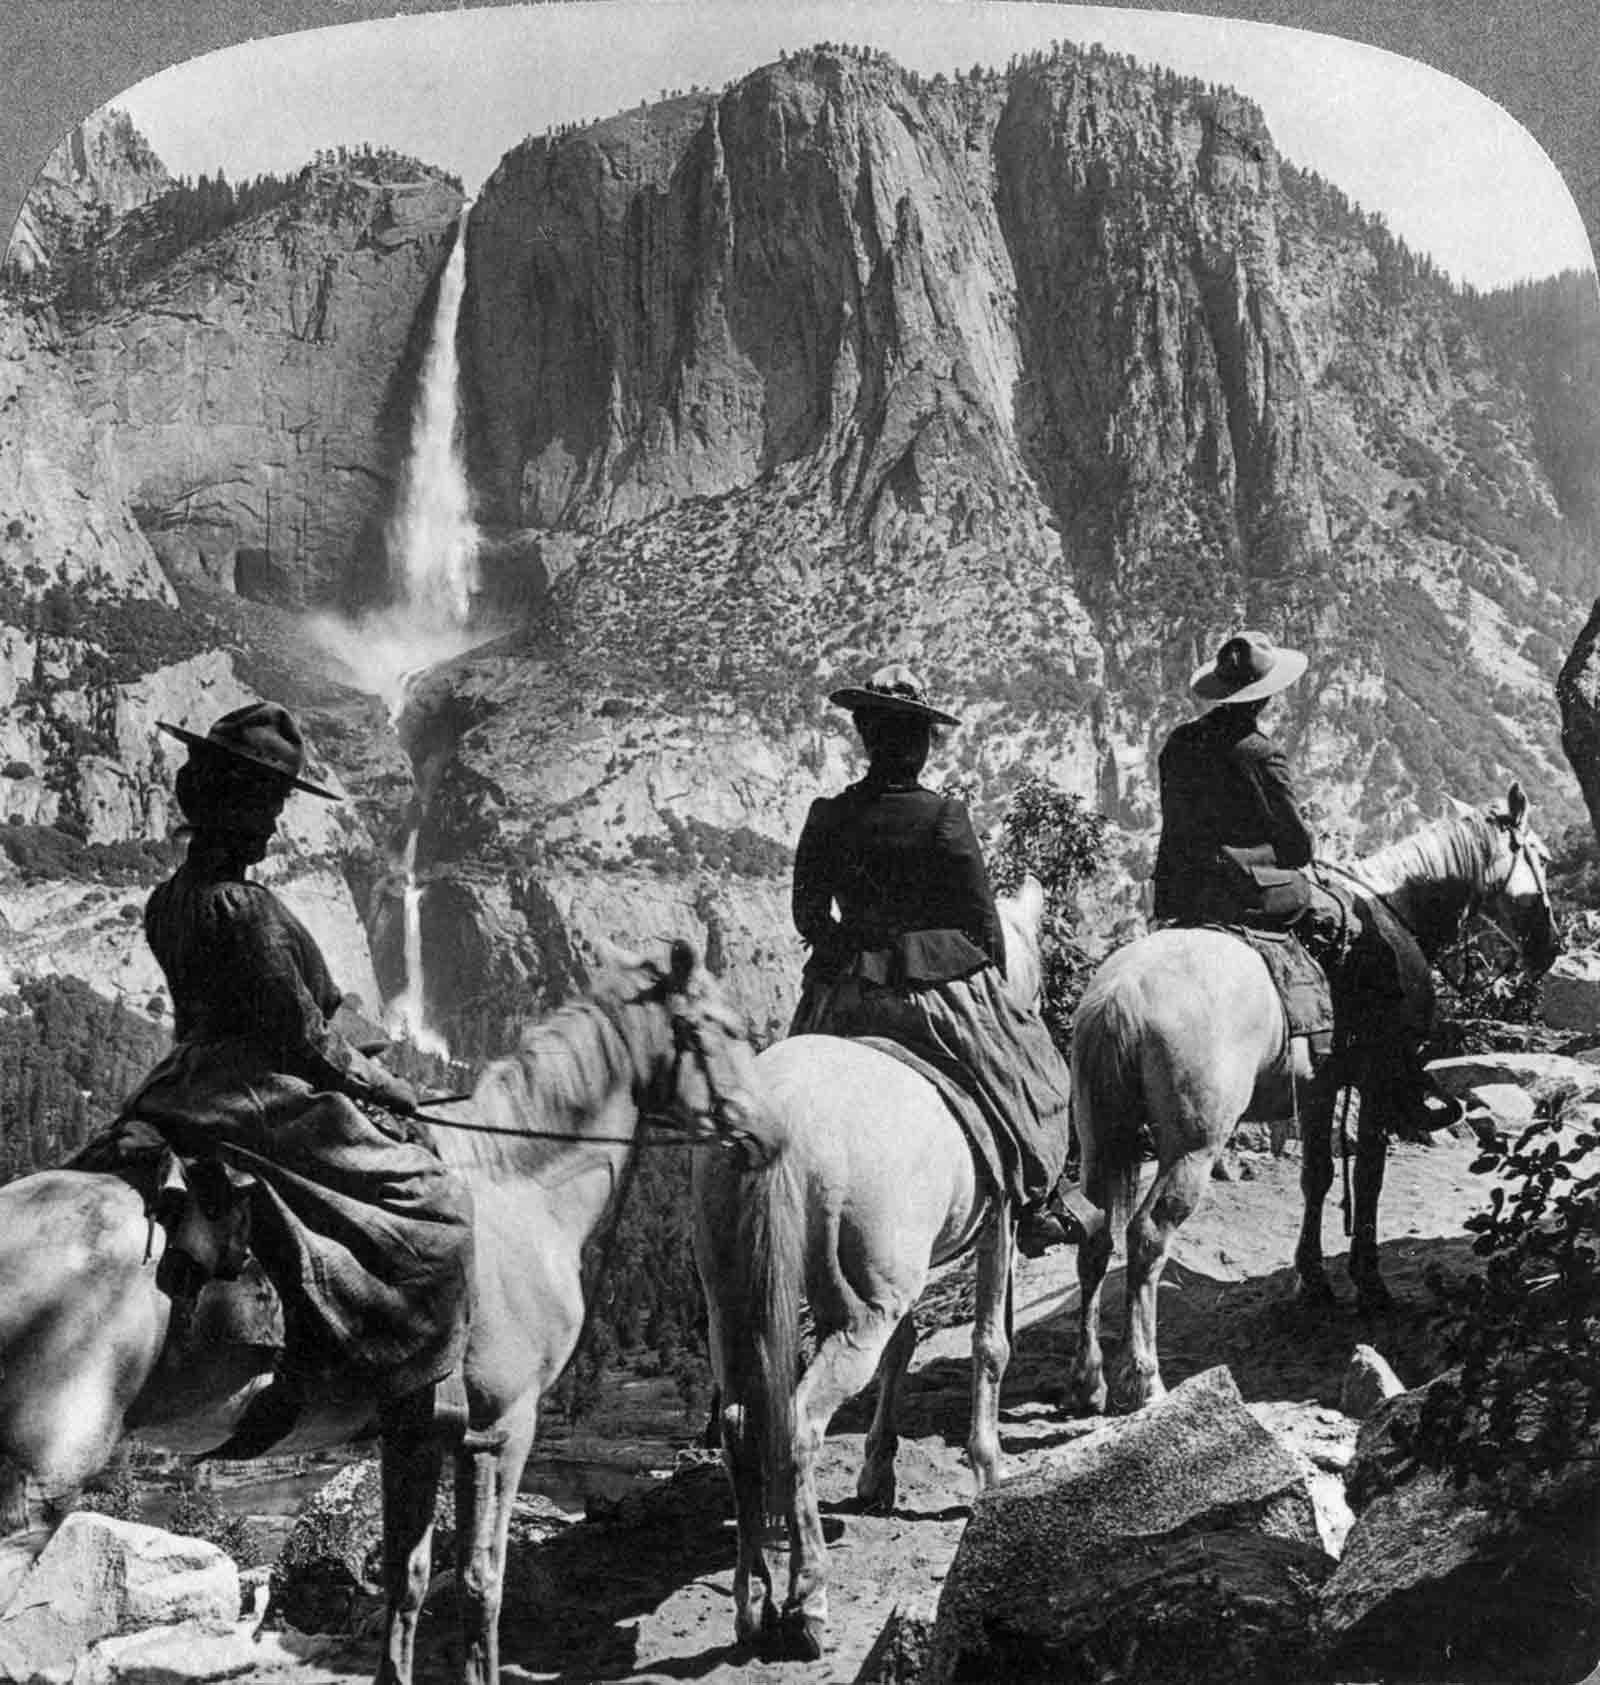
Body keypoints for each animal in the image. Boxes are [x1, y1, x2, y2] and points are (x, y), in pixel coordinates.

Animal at [0, 943, 764, 1685]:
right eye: (721, 1029)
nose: (762, 1132)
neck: (518, 1188)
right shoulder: (500, 1430)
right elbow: (483, 1582)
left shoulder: (414, 1432)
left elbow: (409, 1579)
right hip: (37, 1480)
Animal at [693, 882, 1057, 1658]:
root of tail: (777, 1116)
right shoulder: (1000, 1225)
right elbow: (990, 1344)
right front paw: (989, 1469)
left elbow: (907, 1348)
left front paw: (876, 1473)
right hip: (855, 1314)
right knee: (798, 1423)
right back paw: (808, 1601)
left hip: (732, 1308)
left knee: (742, 1424)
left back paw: (751, 1604)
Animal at [1071, 781, 1556, 1415]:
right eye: (1541, 859)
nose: (1550, 948)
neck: (1392, 913)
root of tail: (1119, 995)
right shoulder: (1374, 1080)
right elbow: (1368, 1176)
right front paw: (1368, 1282)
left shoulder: (1321, 1086)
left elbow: (1319, 1176)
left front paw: (1314, 1281)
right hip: (1193, 1148)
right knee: (1148, 1237)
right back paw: (1146, 1379)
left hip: (1100, 1140)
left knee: (1095, 1237)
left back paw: (1089, 1380)